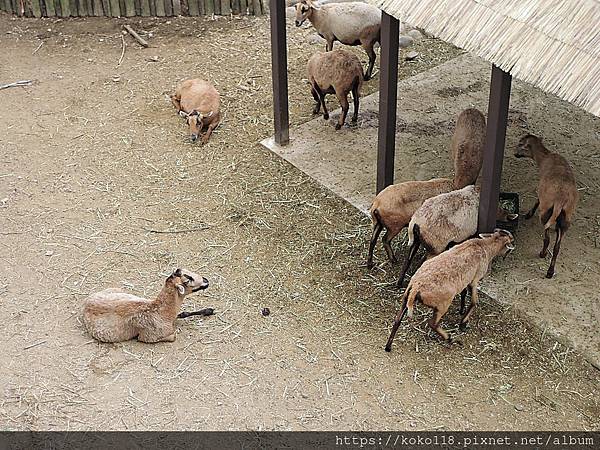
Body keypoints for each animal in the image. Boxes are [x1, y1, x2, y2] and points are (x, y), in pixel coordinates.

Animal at [82, 268, 213, 344]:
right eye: (188, 280)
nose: (206, 281)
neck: (161, 311)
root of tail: (86, 303)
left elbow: (183, 313)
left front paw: (209, 310)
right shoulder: (148, 337)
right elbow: (174, 336)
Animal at [384, 229, 516, 352]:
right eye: (511, 242)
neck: (485, 246)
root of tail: (416, 286)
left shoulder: (465, 281)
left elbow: (464, 293)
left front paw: (462, 310)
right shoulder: (474, 280)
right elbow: (474, 302)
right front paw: (463, 323)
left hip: (406, 296)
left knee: (397, 320)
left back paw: (388, 346)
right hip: (443, 303)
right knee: (432, 323)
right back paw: (450, 338)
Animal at [512, 134, 580, 278]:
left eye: (520, 144)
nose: (515, 154)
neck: (544, 157)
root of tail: (561, 199)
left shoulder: (541, 190)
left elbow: (537, 200)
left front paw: (529, 214)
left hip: (546, 210)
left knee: (547, 239)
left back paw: (542, 254)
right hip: (567, 216)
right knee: (557, 247)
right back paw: (550, 271)